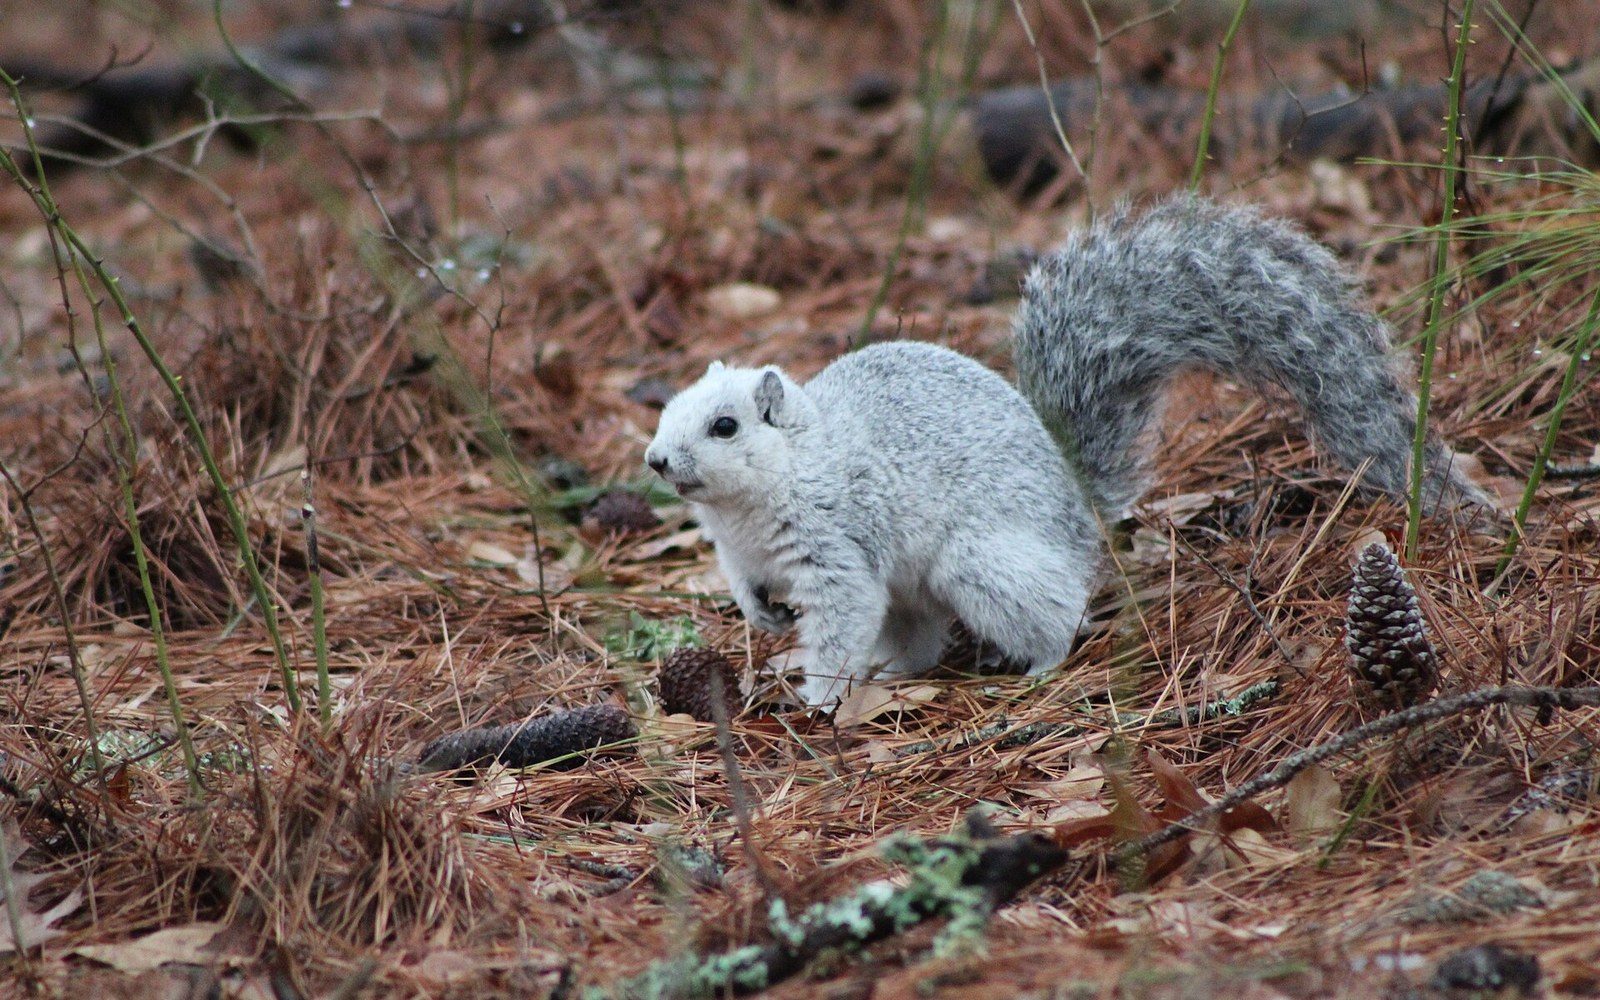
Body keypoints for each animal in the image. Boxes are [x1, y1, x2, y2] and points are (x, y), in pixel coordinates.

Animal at [644, 197, 1490, 707]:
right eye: (669, 407)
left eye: (725, 426)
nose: (655, 461)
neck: (759, 498)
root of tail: (1078, 509)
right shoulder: (740, 553)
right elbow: (750, 589)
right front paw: (766, 621)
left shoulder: (836, 544)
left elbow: (841, 613)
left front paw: (818, 697)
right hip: (921, 595)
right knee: (917, 637)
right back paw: (896, 670)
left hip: (981, 562)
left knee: (1051, 615)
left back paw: (1033, 665)